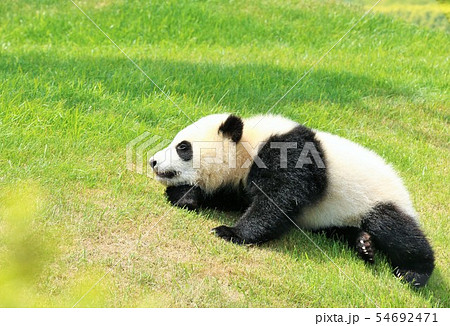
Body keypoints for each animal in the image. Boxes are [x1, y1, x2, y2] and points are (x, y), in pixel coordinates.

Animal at [149, 113, 434, 286]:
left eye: (182, 147)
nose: (153, 161)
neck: (250, 144)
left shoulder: (291, 153)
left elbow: (279, 200)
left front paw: (230, 232)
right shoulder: (238, 183)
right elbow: (229, 197)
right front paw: (186, 197)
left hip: (378, 196)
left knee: (394, 228)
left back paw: (413, 273)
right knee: (342, 231)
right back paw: (363, 244)